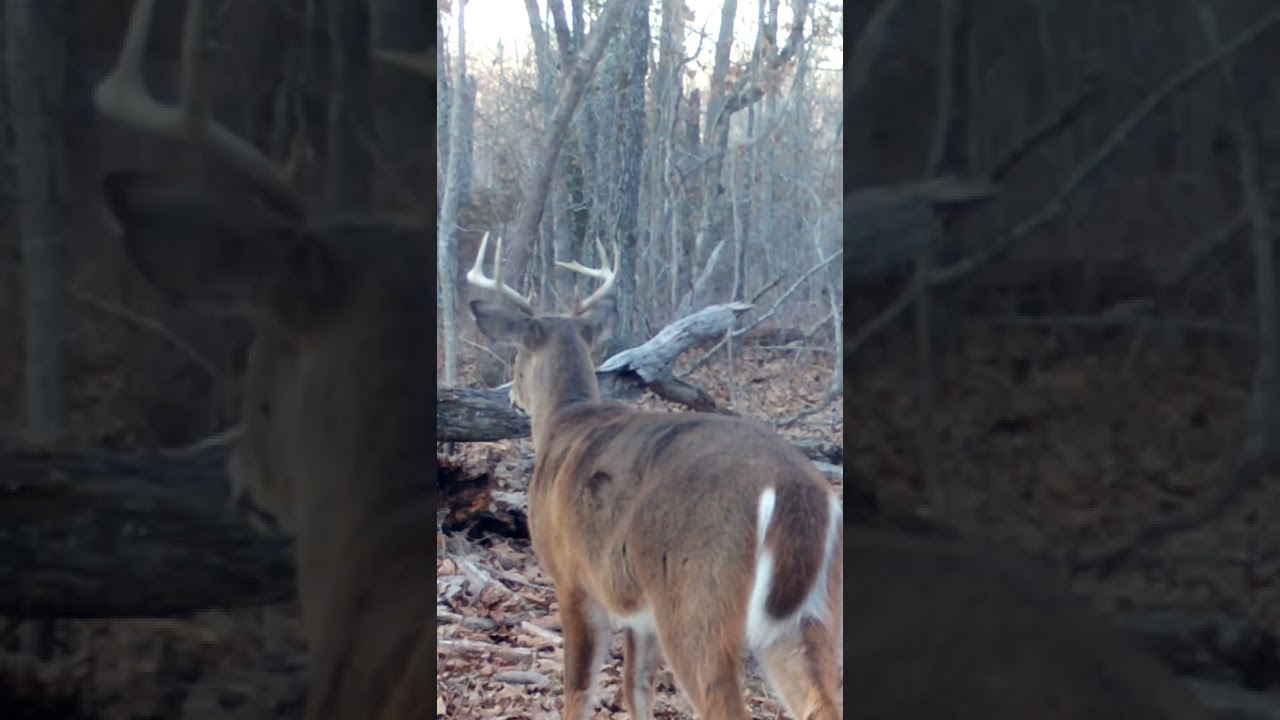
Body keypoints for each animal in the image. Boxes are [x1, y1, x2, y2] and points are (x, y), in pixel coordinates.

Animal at [468, 234, 844, 720]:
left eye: (515, 356)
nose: (513, 397)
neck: (564, 422)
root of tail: (790, 489)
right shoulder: (636, 608)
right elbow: (636, 687)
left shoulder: (573, 577)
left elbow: (578, 691)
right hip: (810, 611)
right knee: (821, 700)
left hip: (697, 598)